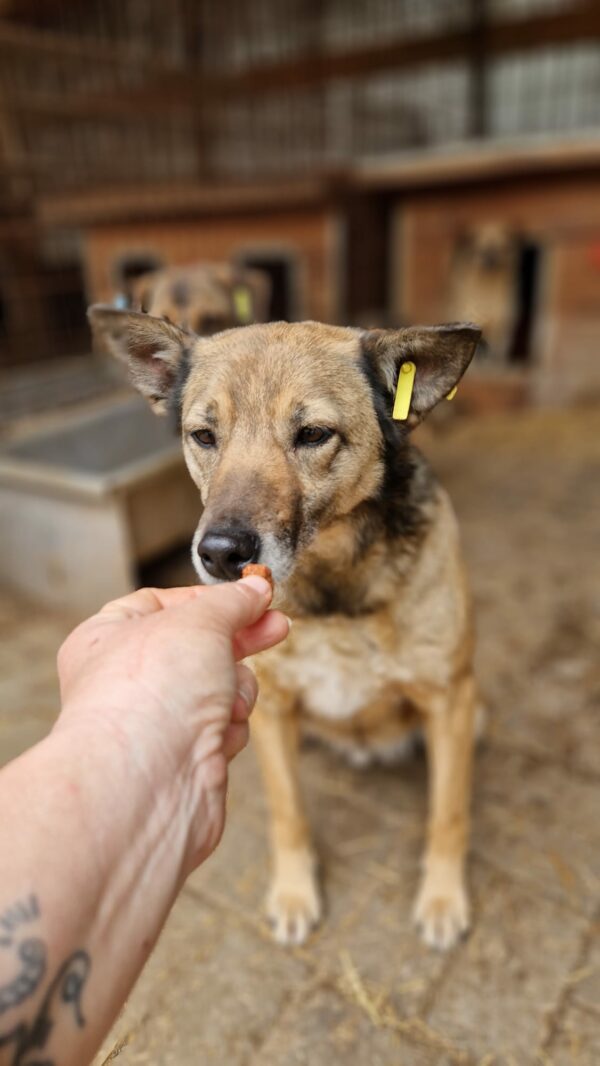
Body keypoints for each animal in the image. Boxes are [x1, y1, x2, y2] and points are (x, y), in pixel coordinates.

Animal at [90, 307, 483, 950]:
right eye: (204, 436)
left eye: (313, 434)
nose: (220, 554)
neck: (331, 581)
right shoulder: (272, 711)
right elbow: (288, 812)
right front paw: (295, 893)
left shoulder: (447, 700)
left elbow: (448, 814)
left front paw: (444, 900)